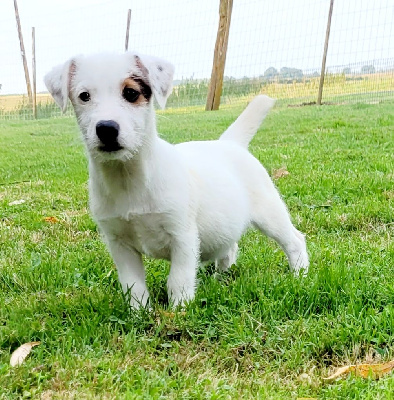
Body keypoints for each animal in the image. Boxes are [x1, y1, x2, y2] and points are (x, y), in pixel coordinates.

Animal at [43, 51, 308, 308]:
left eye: (131, 93)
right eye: (84, 96)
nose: (106, 128)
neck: (128, 178)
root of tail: (230, 143)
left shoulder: (183, 236)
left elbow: (178, 280)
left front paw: (179, 310)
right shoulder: (120, 244)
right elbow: (134, 286)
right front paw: (140, 314)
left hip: (269, 212)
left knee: (295, 240)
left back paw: (300, 276)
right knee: (230, 248)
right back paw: (220, 279)